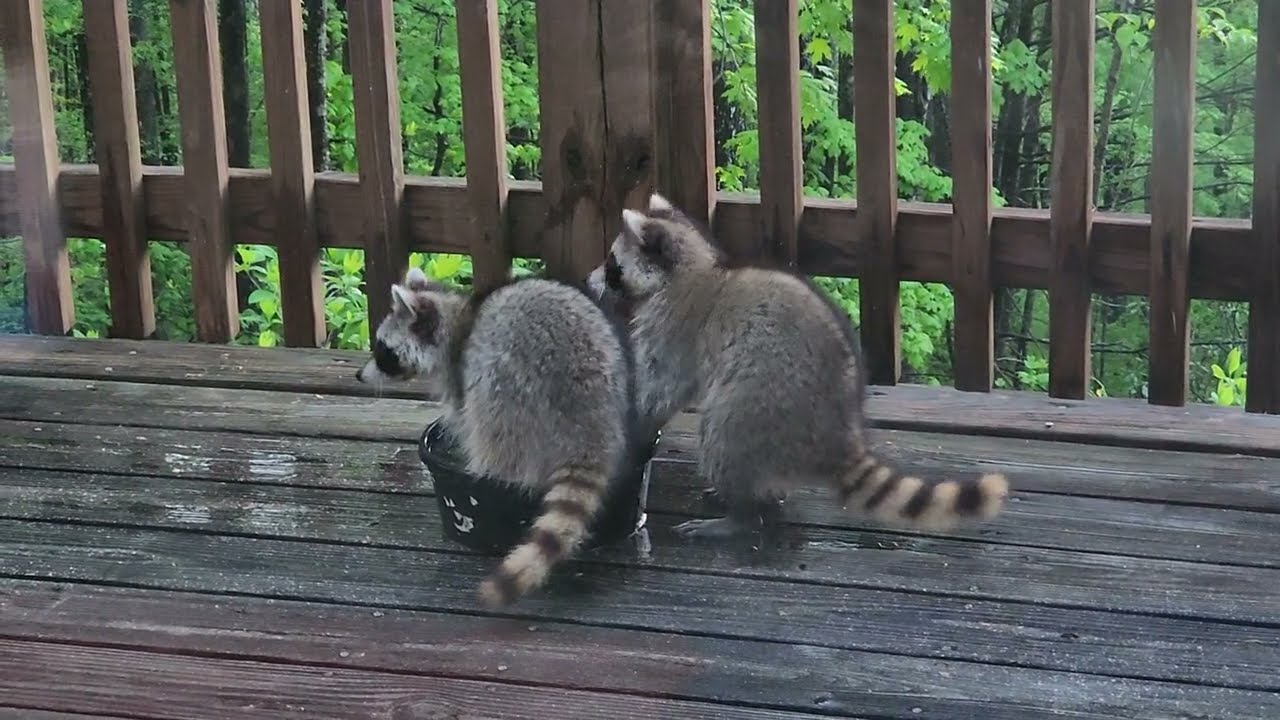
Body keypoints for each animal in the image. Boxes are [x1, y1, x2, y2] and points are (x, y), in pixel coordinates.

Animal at [357, 267, 638, 606]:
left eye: (382, 349)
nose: (359, 376)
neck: (456, 316)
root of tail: (587, 427)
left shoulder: (461, 369)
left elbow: (463, 414)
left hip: (511, 387)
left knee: (494, 428)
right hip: (613, 366)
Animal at [587, 193, 1009, 539]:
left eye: (611, 264)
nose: (591, 282)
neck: (692, 266)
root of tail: (837, 434)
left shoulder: (676, 329)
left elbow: (662, 385)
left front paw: (636, 416)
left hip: (761, 407)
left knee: (722, 432)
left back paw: (740, 516)